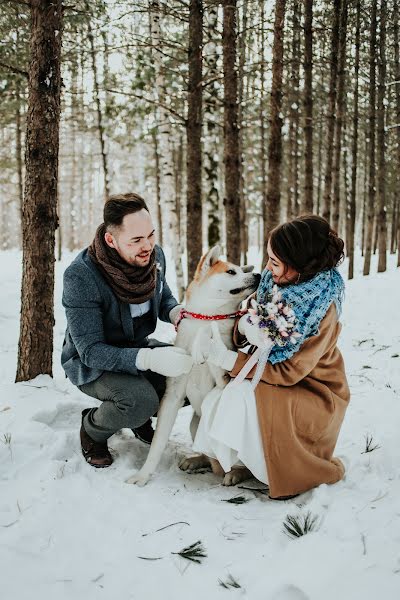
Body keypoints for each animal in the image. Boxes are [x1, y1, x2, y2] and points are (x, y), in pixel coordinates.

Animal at [126, 246, 260, 486]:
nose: (258, 275)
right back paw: (197, 460)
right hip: (195, 424)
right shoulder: (173, 396)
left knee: (241, 467)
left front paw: (204, 343)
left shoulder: (223, 383)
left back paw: (235, 473)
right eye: (231, 272)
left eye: (241, 270)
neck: (206, 317)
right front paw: (143, 475)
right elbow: (158, 443)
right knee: (210, 457)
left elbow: (209, 335)